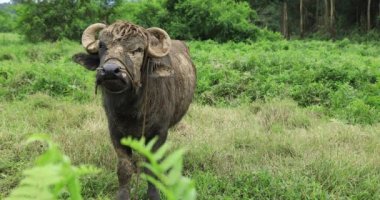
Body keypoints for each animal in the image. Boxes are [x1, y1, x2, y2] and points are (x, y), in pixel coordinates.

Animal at [72, 21, 196, 199]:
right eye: (102, 46)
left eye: (137, 50)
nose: (110, 70)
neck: (131, 108)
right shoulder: (115, 132)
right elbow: (124, 167)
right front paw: (123, 195)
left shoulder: (159, 133)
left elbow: (151, 167)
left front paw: (153, 194)